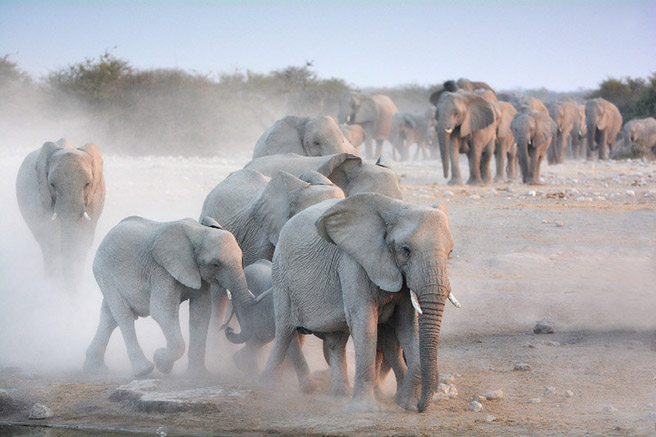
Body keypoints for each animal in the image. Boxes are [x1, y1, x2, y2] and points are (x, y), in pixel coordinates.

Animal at [16, 138, 105, 284]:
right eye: (52, 185)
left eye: (87, 184)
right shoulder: (41, 199)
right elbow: (51, 240)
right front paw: (54, 287)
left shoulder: (94, 202)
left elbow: (83, 240)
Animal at [81, 216, 256, 376]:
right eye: (215, 264)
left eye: (241, 259)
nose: (229, 329)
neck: (199, 231)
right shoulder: (162, 270)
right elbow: (162, 312)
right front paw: (161, 361)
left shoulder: (196, 273)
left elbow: (201, 312)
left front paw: (198, 375)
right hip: (104, 271)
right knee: (124, 317)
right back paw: (144, 370)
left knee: (109, 318)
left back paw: (95, 369)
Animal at [258, 194, 454, 412]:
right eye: (406, 250)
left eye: (450, 253)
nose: (421, 407)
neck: (397, 207)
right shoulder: (352, 263)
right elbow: (365, 323)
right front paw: (366, 409)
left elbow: (407, 326)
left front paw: (406, 404)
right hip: (281, 275)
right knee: (284, 331)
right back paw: (270, 389)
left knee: (335, 341)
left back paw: (339, 395)